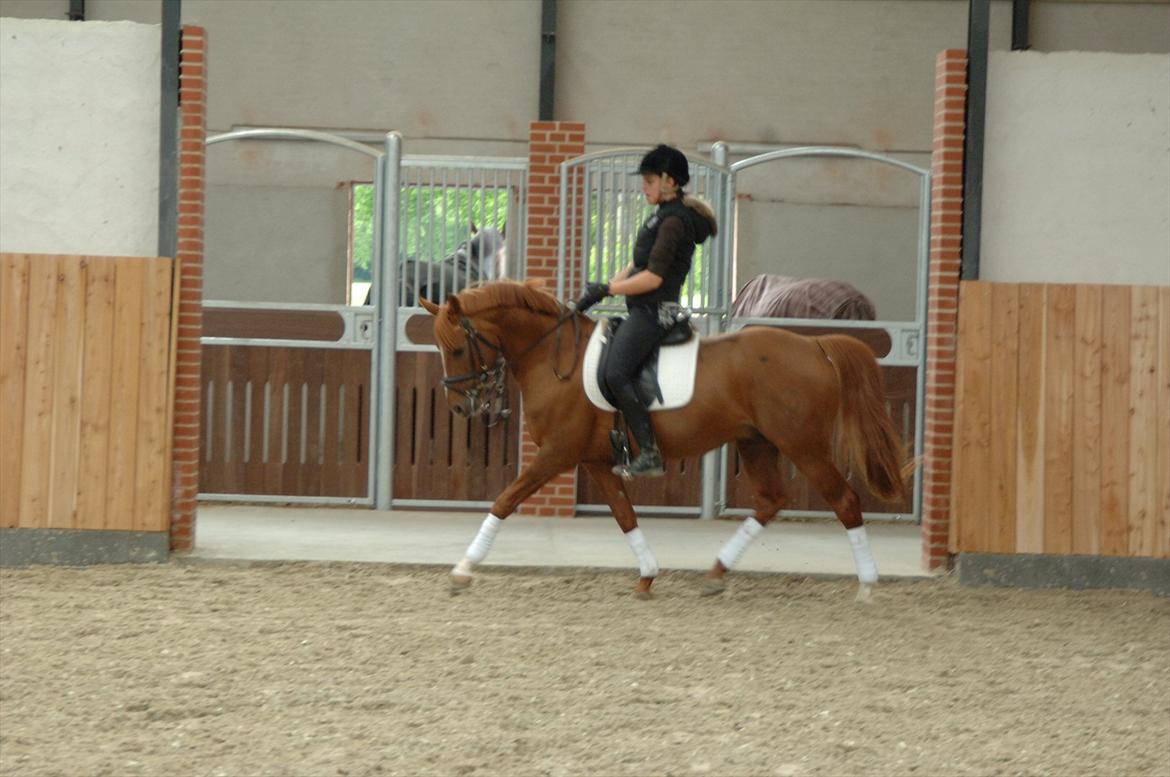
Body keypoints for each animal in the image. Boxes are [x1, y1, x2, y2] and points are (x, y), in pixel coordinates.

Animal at [419, 279, 910, 600]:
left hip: (802, 445)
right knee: (772, 500)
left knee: (844, 500)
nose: (461, 407)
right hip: (756, 442)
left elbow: (504, 500)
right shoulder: (596, 461)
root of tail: (815, 347)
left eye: (457, 348)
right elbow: (624, 516)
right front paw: (647, 575)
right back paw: (716, 572)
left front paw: (463, 569)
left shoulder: (557, 454)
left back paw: (867, 585)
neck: (555, 358)